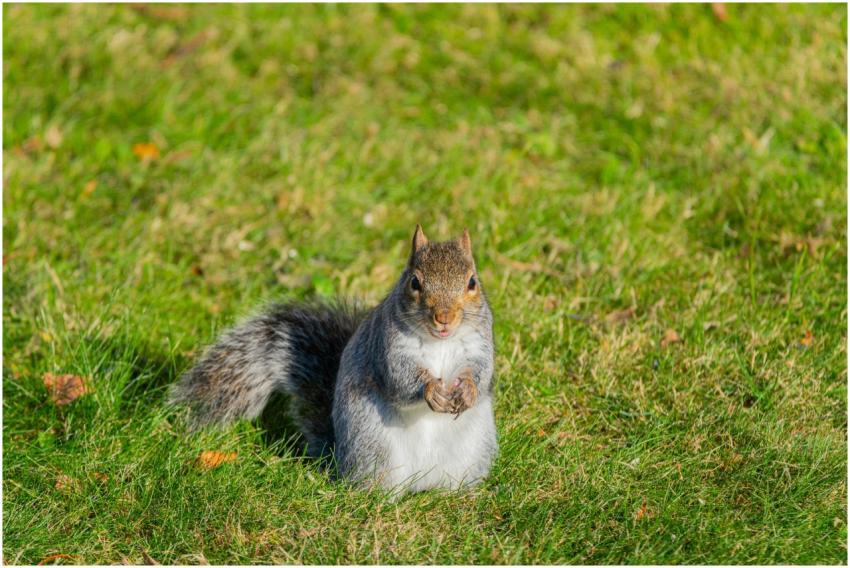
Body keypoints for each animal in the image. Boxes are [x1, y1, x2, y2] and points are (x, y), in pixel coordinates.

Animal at [170, 225, 497, 493]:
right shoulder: (387, 349)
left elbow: (482, 373)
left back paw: (464, 495)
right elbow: (400, 382)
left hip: (472, 449)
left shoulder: (480, 345)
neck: (440, 342)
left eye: (472, 282)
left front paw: (469, 390)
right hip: (375, 446)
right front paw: (431, 391)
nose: (444, 317)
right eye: (414, 283)